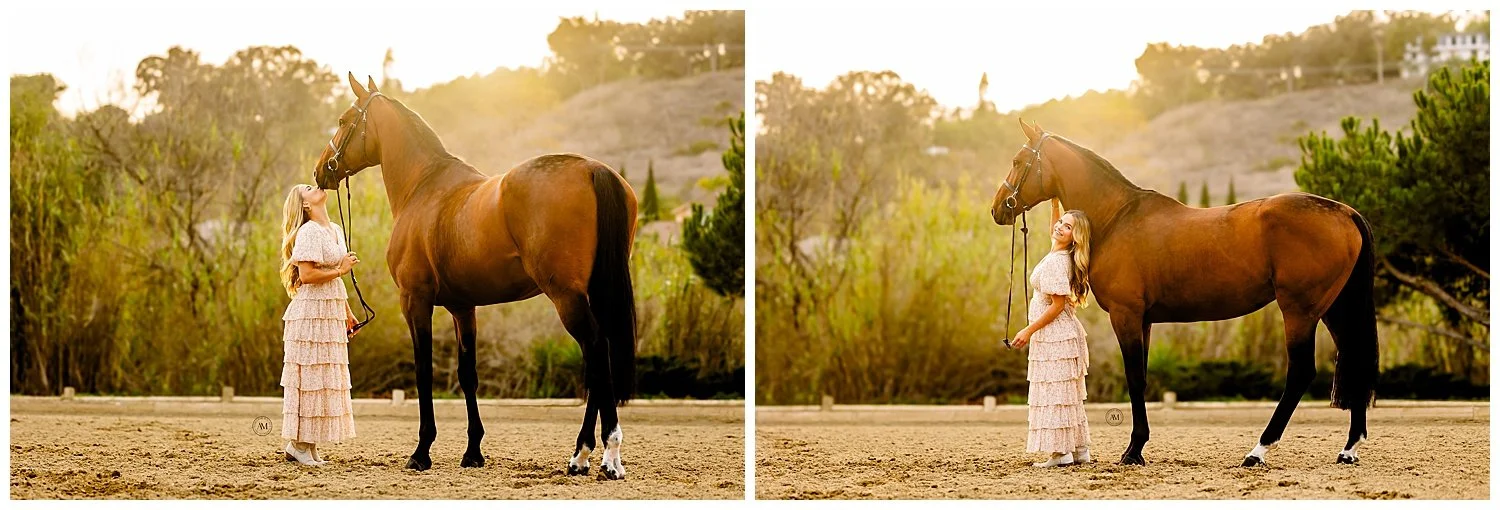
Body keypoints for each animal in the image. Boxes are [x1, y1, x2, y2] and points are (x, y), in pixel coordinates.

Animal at [313, 73, 638, 479]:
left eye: (343, 120)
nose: (321, 170)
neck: (424, 186)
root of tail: (593, 169)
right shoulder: (462, 307)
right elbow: (468, 374)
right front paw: (473, 452)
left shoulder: (415, 301)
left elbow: (424, 370)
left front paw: (421, 452)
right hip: (593, 292)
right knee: (598, 355)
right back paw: (581, 457)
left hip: (567, 296)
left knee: (596, 349)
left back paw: (605, 456)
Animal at [990, 120, 1378, 467]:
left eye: (1018, 161)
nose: (998, 208)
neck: (1116, 219)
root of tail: (1345, 212)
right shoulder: (1143, 320)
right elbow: (1143, 376)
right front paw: (1138, 446)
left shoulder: (1125, 315)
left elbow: (1134, 378)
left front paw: (1133, 452)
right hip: (1335, 308)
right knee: (1353, 358)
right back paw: (1349, 449)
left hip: (1300, 311)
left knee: (1300, 372)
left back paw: (1258, 451)